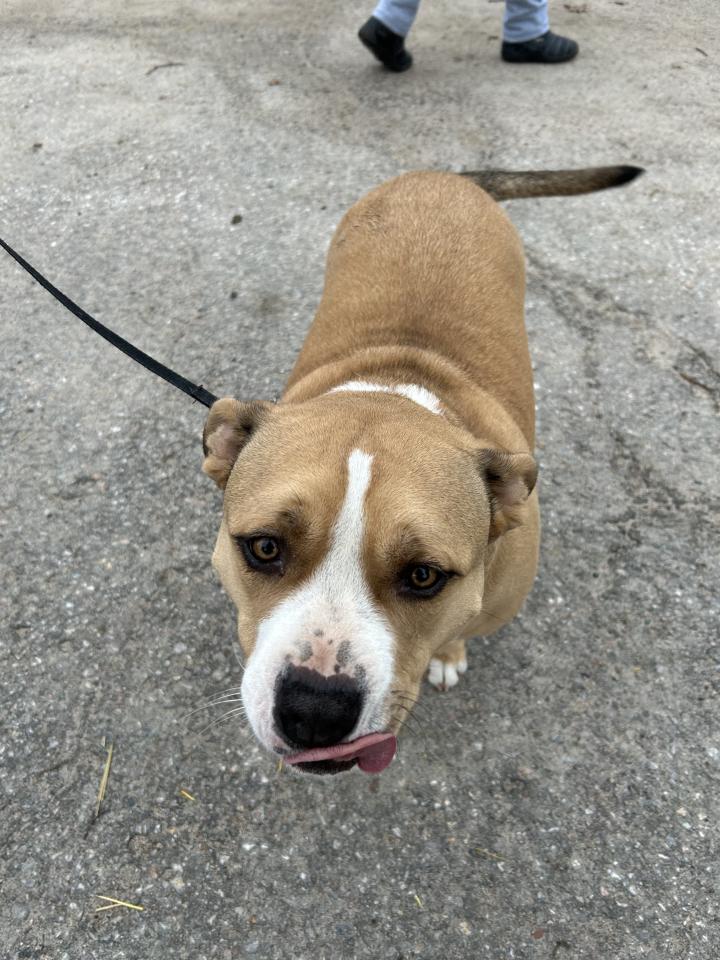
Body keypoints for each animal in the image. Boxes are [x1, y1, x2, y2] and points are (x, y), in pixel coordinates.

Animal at [201, 165, 640, 776]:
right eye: (264, 547)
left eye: (425, 576)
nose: (315, 711)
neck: (396, 385)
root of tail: (443, 175)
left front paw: (449, 653)